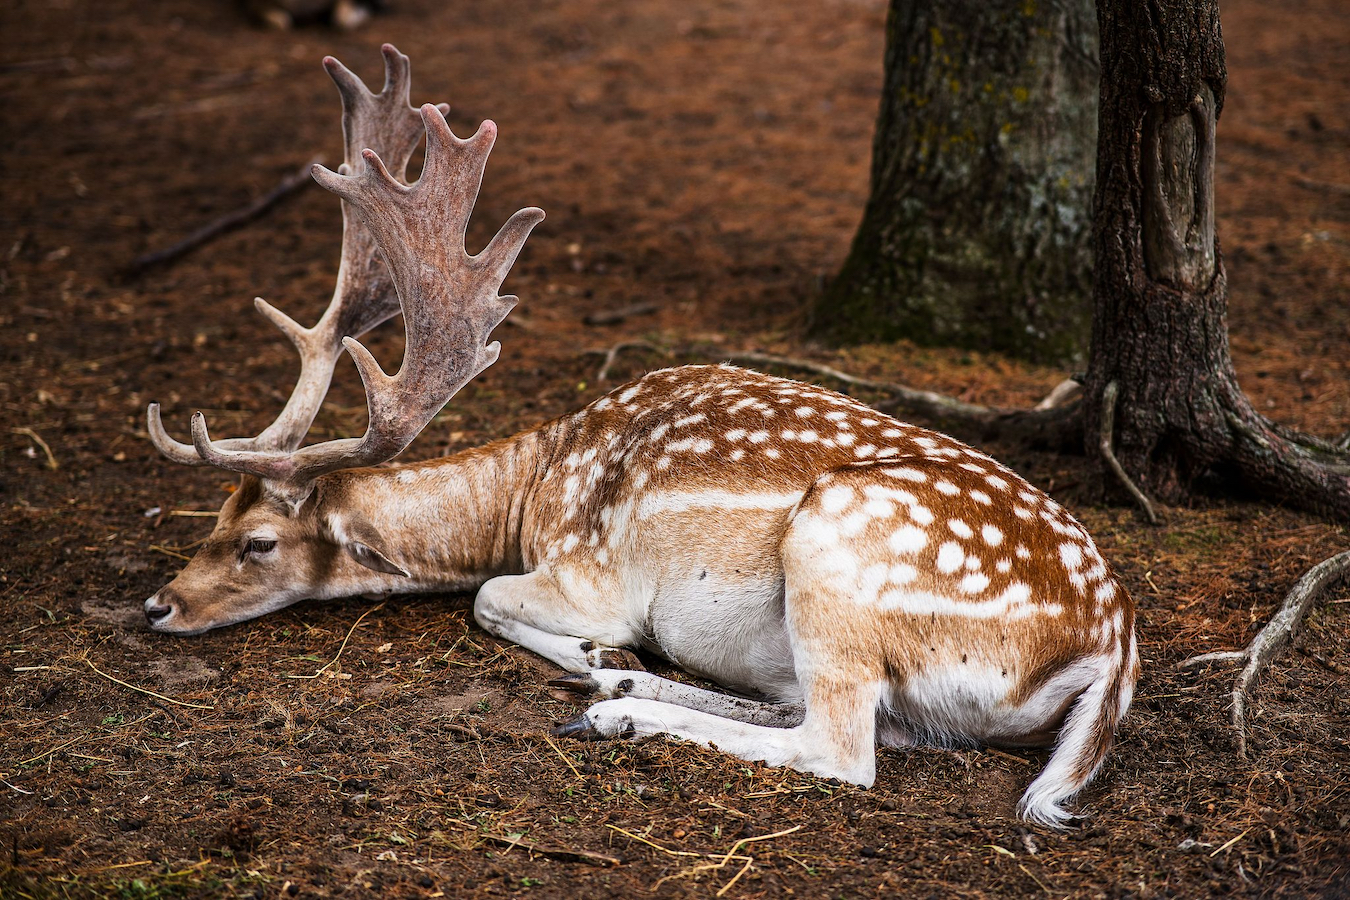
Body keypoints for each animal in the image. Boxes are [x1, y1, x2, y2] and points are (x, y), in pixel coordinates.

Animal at [145, 45, 1139, 825]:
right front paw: (602, 664)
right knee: (865, 724)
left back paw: (617, 708)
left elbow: (488, 598)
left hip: (839, 551)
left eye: (259, 543)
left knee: (844, 748)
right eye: (212, 521)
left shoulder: (591, 575)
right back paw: (621, 687)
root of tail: (1113, 649)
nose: (158, 604)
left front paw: (596, 652)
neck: (530, 497)